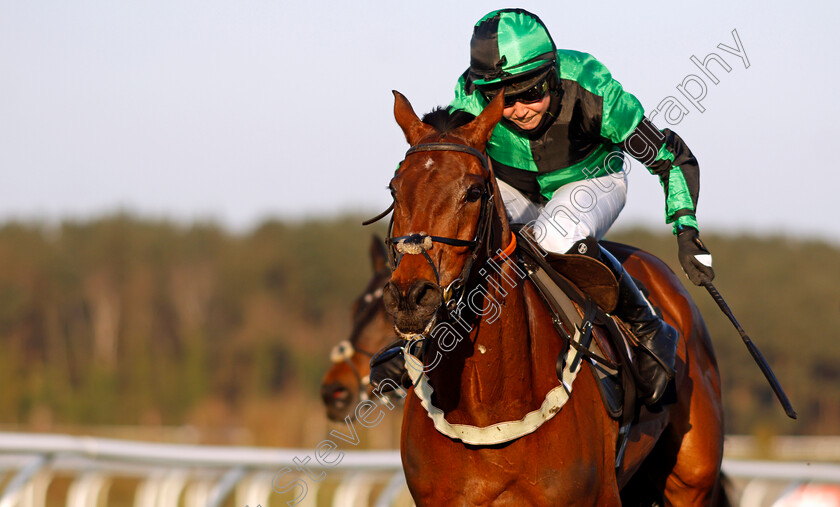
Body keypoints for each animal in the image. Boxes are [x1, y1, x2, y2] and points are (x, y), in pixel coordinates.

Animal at [382, 92, 728, 507]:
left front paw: (693, 249)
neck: (487, 406)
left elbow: (665, 153)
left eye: (474, 192)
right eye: (394, 190)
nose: (410, 296)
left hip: (692, 480)